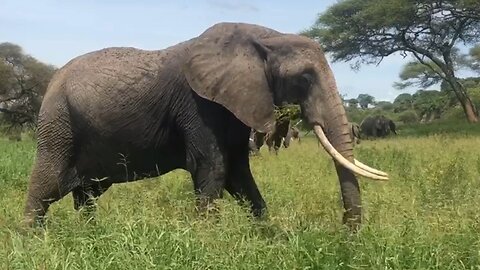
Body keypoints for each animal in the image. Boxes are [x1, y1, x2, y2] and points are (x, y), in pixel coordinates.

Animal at [23, 21, 390, 230]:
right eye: (304, 78)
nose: (346, 236)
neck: (264, 37)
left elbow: (238, 173)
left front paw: (269, 237)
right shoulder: (197, 104)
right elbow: (212, 168)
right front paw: (206, 241)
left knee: (86, 195)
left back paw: (93, 236)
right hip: (59, 124)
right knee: (45, 187)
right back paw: (33, 242)